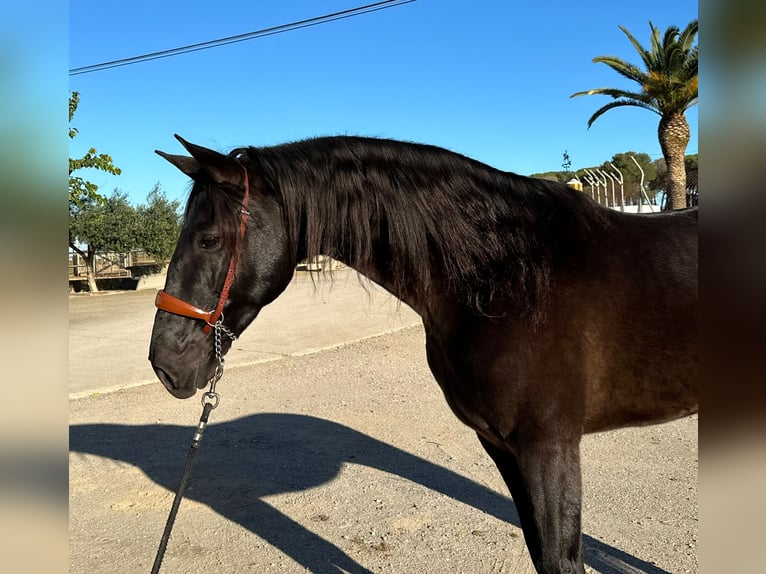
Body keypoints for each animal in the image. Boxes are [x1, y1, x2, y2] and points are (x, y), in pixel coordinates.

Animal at [150, 136, 704, 574]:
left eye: (208, 239)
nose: (165, 364)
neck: (507, 276)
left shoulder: (549, 446)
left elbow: (559, 559)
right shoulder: (502, 446)